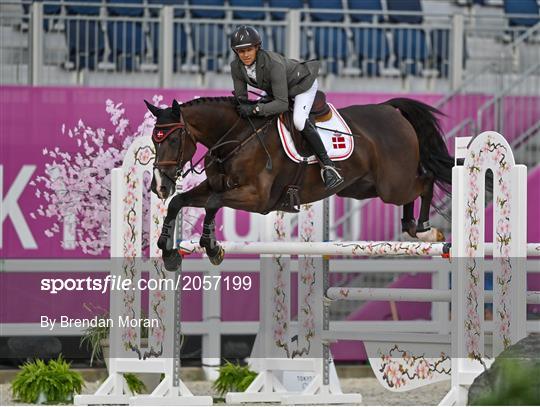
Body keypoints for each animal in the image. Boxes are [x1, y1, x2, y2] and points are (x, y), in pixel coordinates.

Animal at [146, 97, 454, 272]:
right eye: (154, 140)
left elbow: (212, 203)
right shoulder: (216, 186)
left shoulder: (257, 198)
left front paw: (211, 247)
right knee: (414, 190)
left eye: (174, 139)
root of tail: (392, 110)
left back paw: (425, 229)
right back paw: (410, 225)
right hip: (365, 187)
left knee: (426, 181)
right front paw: (168, 251)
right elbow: (179, 202)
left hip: (393, 185)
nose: (159, 186)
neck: (236, 137)